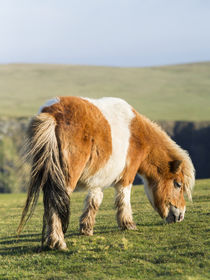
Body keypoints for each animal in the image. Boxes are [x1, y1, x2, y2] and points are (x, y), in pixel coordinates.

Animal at [18, 97, 195, 250]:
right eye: (178, 184)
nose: (180, 216)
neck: (137, 133)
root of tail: (52, 113)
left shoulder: (98, 179)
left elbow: (94, 200)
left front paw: (86, 228)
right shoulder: (127, 176)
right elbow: (123, 198)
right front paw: (128, 224)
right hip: (65, 179)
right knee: (55, 203)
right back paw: (58, 242)